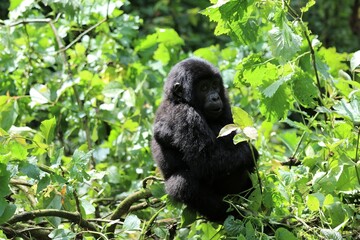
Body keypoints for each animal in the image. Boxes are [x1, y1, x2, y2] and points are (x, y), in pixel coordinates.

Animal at [152, 57, 258, 222]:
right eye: (204, 87)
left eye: (214, 85)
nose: (215, 97)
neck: (178, 100)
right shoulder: (186, 114)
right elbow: (208, 162)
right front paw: (251, 152)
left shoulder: (225, 103)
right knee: (184, 184)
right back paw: (230, 214)